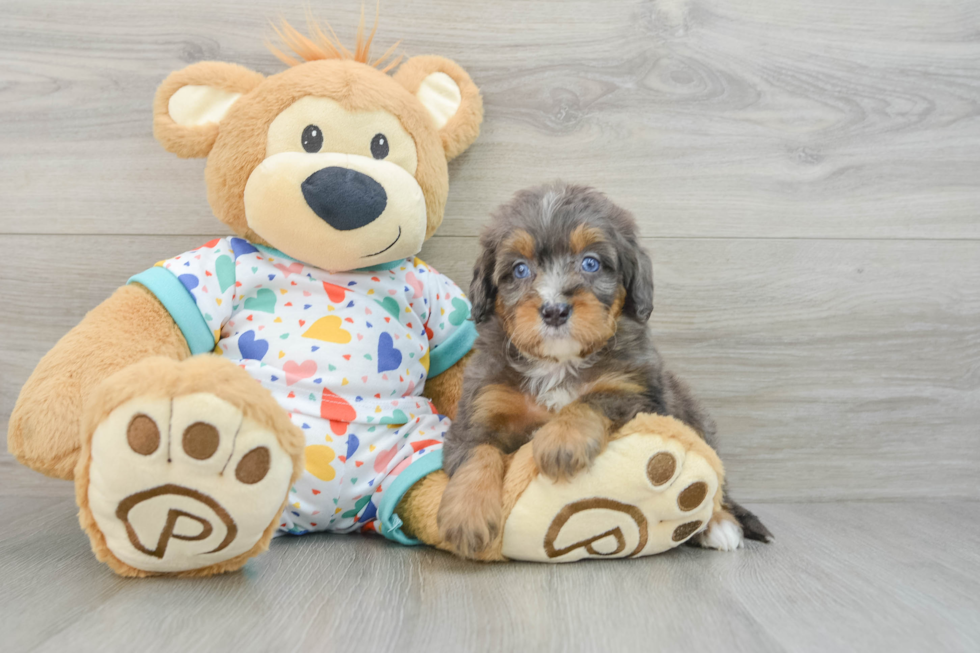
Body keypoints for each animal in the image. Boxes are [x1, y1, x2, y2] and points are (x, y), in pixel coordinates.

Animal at [438, 182, 772, 556]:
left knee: (715, 484)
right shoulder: (481, 405)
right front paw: (467, 514)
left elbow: (595, 398)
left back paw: (717, 523)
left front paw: (561, 439)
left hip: (695, 418)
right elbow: (477, 451)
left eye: (591, 263)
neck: (559, 363)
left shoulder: (637, 392)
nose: (554, 310)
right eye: (520, 269)